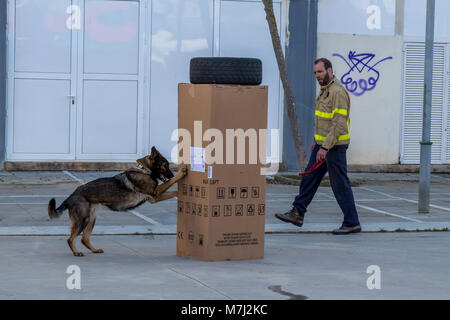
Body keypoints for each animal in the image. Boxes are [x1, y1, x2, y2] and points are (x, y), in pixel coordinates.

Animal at [46, 146, 186, 256]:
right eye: (165, 165)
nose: (172, 175)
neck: (145, 171)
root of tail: (71, 196)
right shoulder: (156, 193)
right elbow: (169, 184)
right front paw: (180, 175)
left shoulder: (154, 197)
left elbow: (171, 188)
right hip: (83, 220)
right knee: (70, 239)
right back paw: (76, 252)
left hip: (91, 219)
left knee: (84, 239)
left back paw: (94, 250)